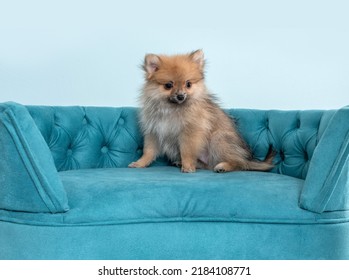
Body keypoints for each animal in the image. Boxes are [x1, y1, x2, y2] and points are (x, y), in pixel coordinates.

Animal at [129, 50, 274, 173]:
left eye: (188, 84)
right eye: (168, 85)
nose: (181, 96)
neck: (171, 108)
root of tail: (246, 158)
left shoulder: (189, 133)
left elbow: (186, 151)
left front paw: (187, 166)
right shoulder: (154, 132)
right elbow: (148, 151)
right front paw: (140, 163)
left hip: (218, 139)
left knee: (238, 163)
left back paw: (223, 166)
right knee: (209, 165)